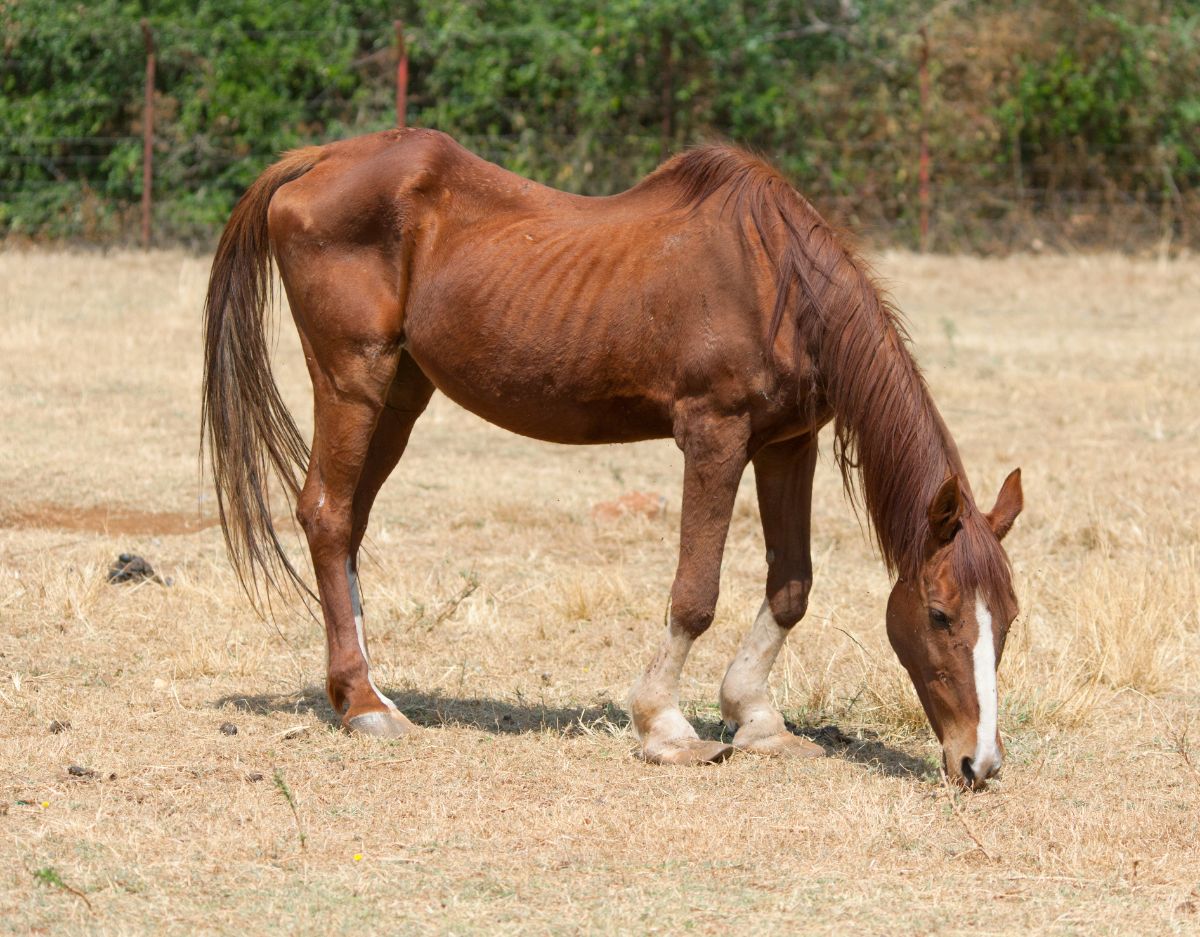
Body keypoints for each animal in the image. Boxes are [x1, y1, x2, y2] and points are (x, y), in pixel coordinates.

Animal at [204, 127, 1022, 787]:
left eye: (1008, 618)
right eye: (942, 614)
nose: (978, 764)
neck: (780, 285)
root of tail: (318, 159)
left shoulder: (790, 443)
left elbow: (791, 585)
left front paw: (756, 717)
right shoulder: (715, 435)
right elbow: (694, 593)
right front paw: (666, 726)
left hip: (402, 395)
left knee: (346, 524)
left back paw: (363, 691)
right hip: (353, 379)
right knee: (328, 514)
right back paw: (366, 705)